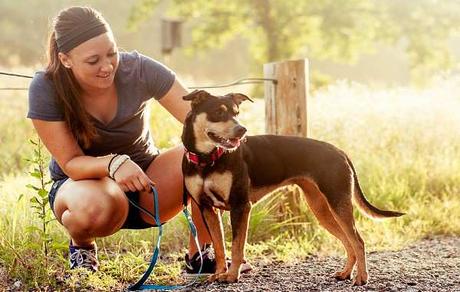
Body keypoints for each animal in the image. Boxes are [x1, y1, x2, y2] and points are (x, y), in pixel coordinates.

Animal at [180, 89, 402, 286]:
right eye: (218, 112)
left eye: (237, 113)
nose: (242, 130)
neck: (207, 160)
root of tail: (339, 151)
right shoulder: (207, 208)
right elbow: (219, 247)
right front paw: (218, 273)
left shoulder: (240, 206)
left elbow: (236, 247)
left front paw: (232, 276)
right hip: (322, 210)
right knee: (348, 242)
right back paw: (346, 273)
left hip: (338, 204)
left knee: (358, 241)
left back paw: (361, 278)